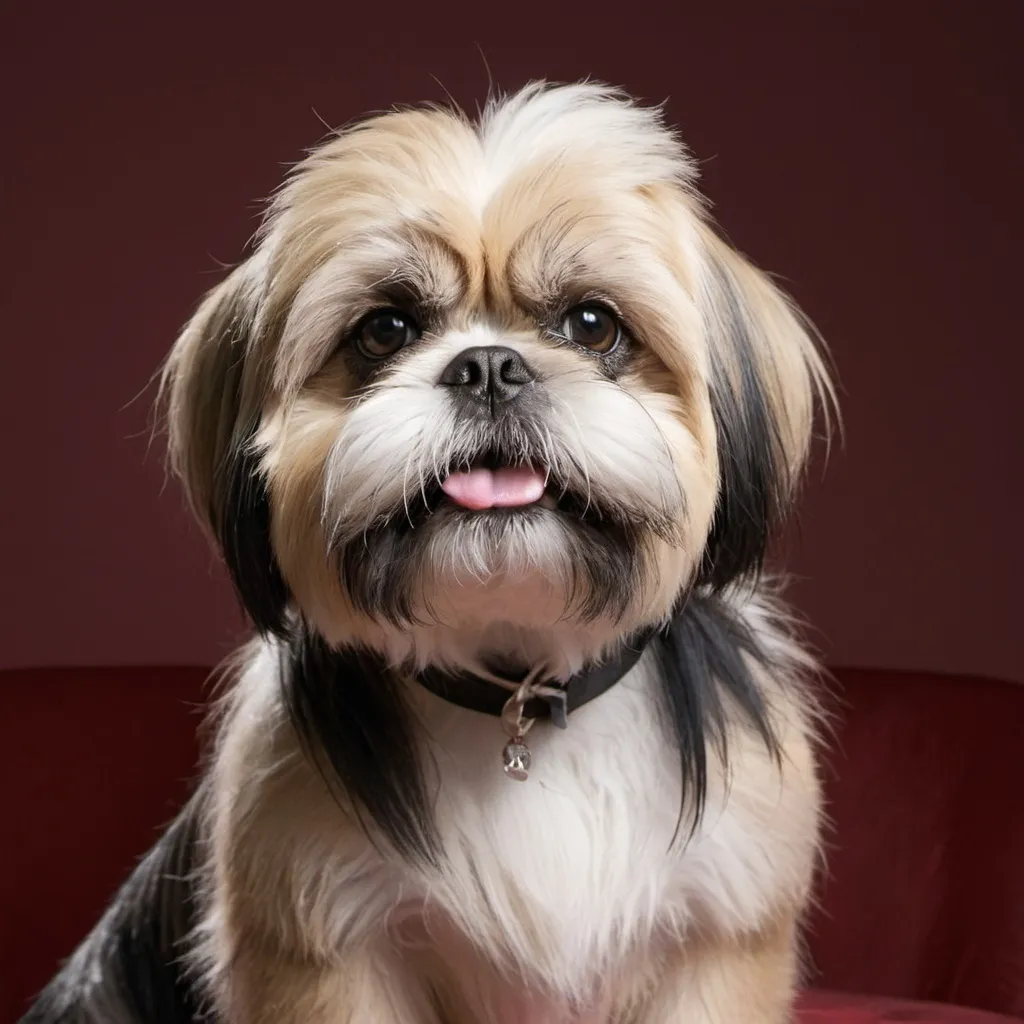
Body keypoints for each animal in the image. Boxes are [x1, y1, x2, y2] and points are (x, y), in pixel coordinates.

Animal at [24, 81, 835, 1024]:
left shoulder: (721, 940)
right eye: (385, 330)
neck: (519, 700)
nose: (487, 366)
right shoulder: (325, 952)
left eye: (592, 323)